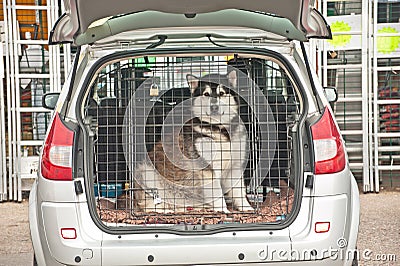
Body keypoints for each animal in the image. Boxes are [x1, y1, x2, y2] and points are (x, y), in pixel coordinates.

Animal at [135, 69, 253, 213]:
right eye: (206, 94)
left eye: (221, 93)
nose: (214, 107)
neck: (219, 130)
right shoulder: (208, 170)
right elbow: (217, 193)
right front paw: (223, 210)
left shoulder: (235, 166)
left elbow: (239, 192)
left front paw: (247, 208)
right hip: (146, 171)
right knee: (148, 206)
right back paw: (165, 211)